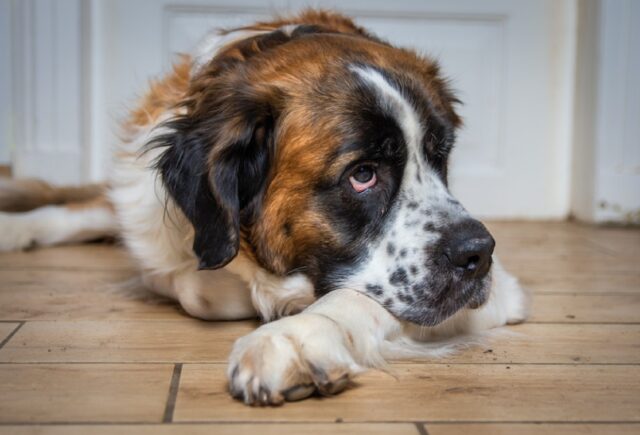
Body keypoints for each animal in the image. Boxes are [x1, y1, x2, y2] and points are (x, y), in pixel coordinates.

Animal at [0, 10, 528, 406]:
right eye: (363, 175)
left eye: (441, 155)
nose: (479, 254)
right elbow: (196, 284)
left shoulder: (502, 291)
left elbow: (348, 298)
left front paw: (293, 337)